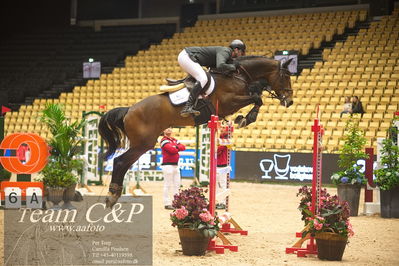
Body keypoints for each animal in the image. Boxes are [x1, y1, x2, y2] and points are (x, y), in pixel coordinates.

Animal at [99, 55, 294, 207]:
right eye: (285, 76)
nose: (290, 101)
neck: (238, 76)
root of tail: (129, 110)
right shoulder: (228, 102)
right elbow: (257, 98)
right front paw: (246, 118)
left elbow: (256, 97)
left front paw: (244, 117)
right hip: (143, 144)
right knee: (120, 162)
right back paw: (112, 196)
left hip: (142, 144)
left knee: (123, 163)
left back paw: (114, 194)